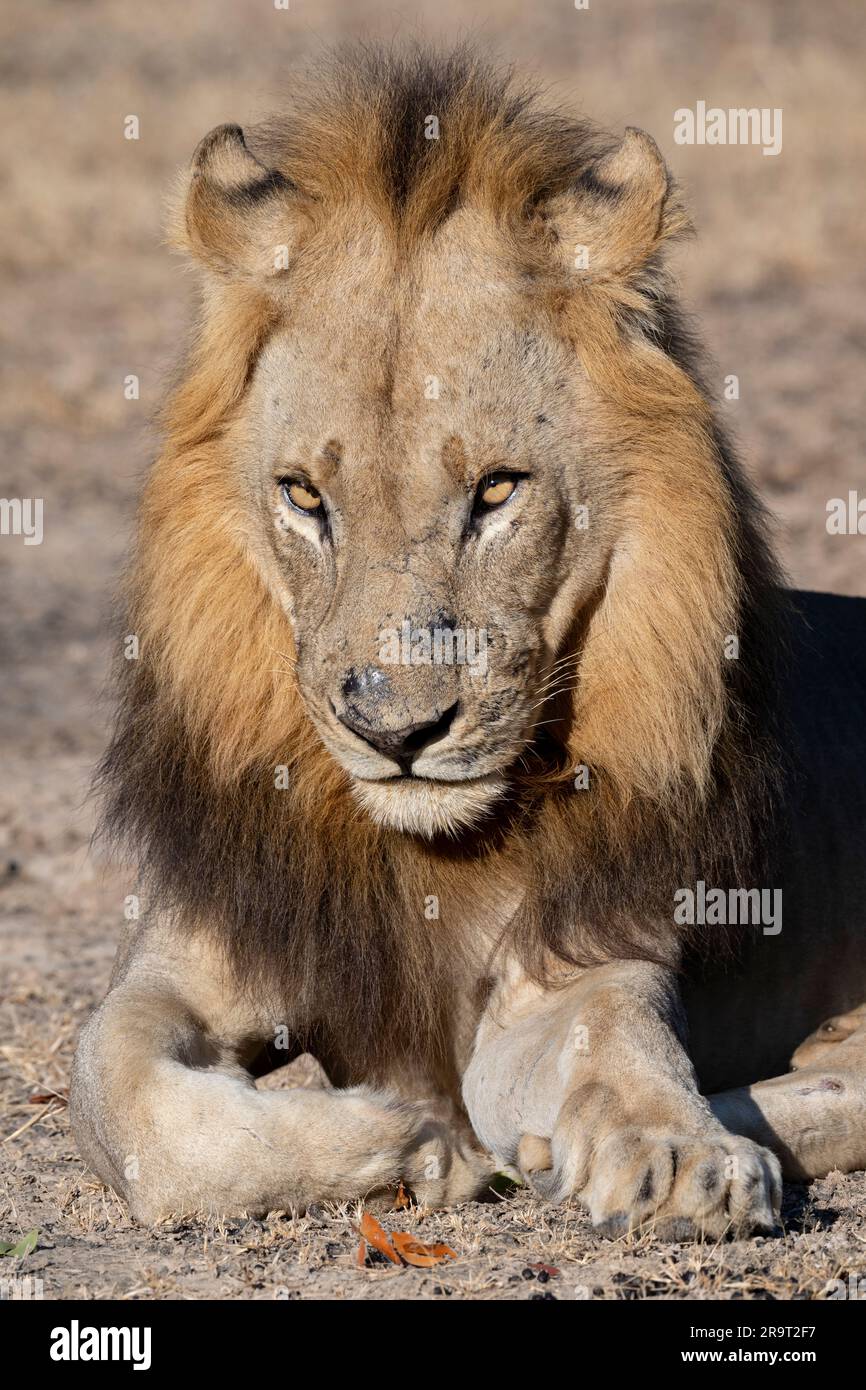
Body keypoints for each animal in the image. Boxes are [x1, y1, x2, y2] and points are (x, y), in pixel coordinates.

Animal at [71, 46, 866, 1238]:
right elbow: (128, 1098)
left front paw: (676, 1153)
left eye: (495, 491)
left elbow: (613, 1038)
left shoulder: (574, 959)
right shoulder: (177, 962)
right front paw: (408, 1146)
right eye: (304, 496)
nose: (396, 733)